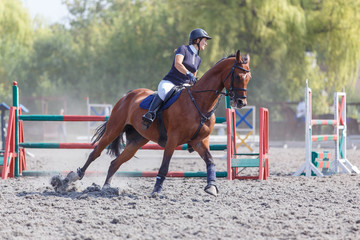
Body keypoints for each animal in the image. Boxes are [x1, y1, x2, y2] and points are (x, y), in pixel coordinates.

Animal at [53, 49, 252, 196]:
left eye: (248, 78)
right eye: (238, 76)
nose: (241, 103)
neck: (199, 102)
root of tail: (128, 95)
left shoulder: (199, 141)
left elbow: (210, 161)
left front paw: (211, 187)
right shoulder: (173, 139)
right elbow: (164, 166)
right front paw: (156, 190)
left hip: (137, 141)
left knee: (115, 163)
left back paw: (107, 188)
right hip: (113, 130)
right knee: (95, 153)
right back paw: (71, 178)